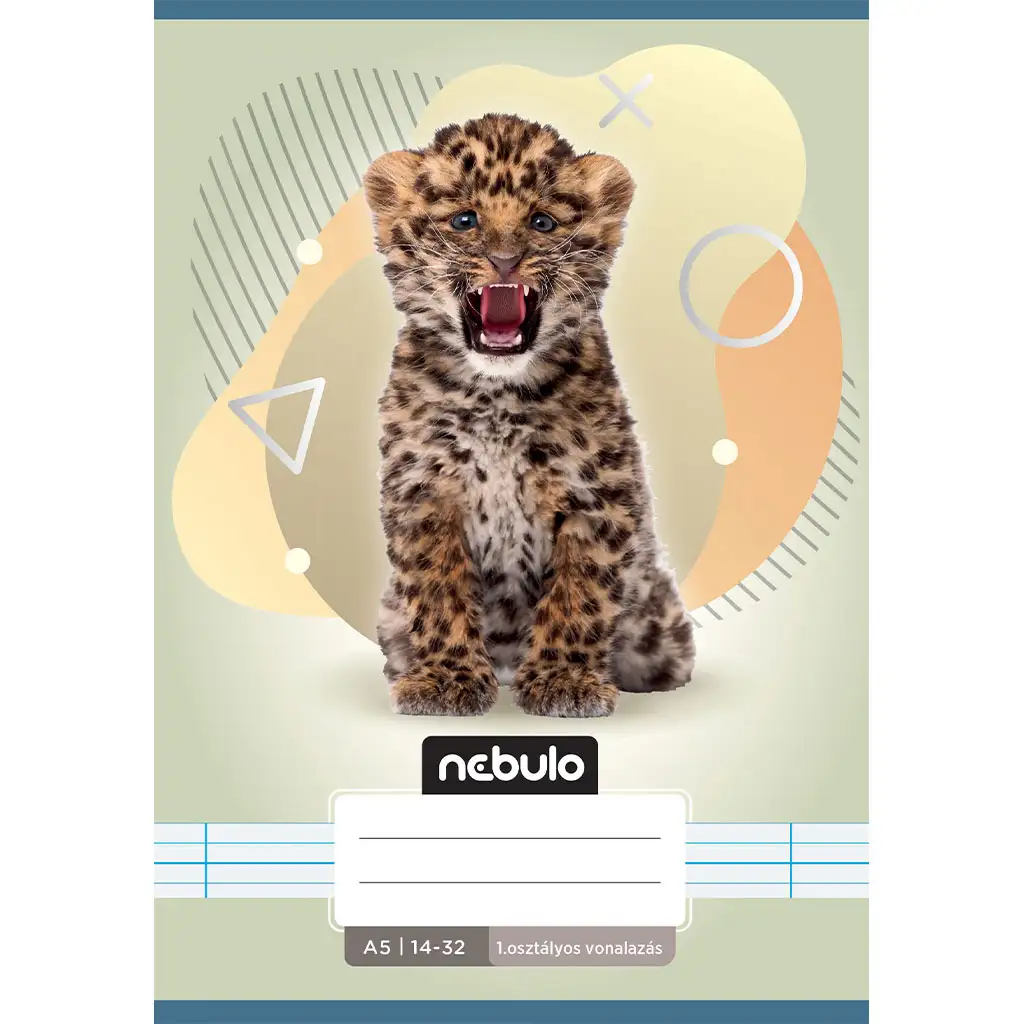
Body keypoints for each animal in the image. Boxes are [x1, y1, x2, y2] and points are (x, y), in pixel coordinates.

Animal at [363, 112, 695, 718]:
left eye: (542, 222)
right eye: (465, 220)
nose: (504, 261)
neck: (495, 398)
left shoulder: (595, 497)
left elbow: (579, 593)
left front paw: (564, 680)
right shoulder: (423, 493)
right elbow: (437, 588)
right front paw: (446, 679)